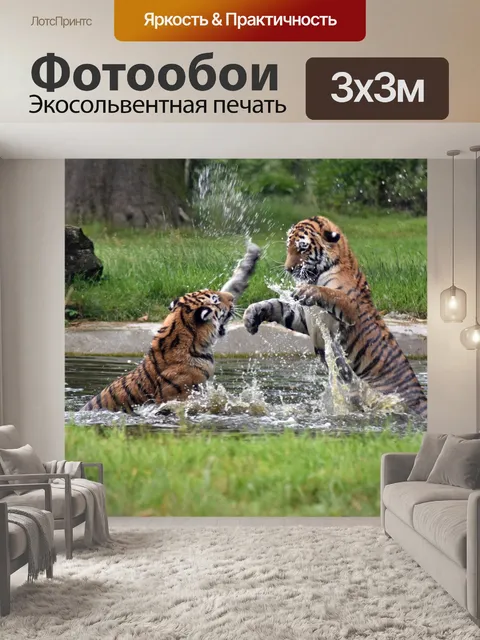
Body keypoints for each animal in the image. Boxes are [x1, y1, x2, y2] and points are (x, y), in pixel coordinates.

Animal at [243, 216, 427, 417]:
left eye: (302, 247)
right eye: (288, 247)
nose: (289, 269)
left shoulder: (351, 309)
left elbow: (332, 294)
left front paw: (309, 290)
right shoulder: (303, 318)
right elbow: (277, 305)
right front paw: (252, 314)